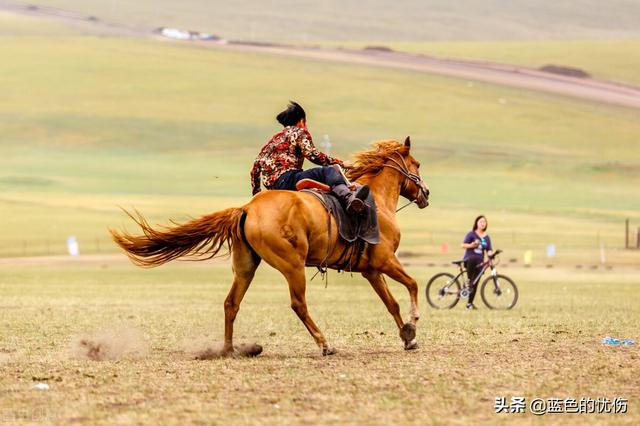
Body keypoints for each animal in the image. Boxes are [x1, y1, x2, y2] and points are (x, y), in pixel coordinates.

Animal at [110, 137, 430, 356]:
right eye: (416, 165)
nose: (426, 193)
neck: (375, 199)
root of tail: (246, 209)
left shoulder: (371, 270)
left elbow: (391, 302)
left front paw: (408, 337)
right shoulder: (385, 261)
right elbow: (413, 285)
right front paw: (413, 325)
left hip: (246, 267)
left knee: (231, 303)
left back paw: (230, 349)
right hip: (293, 265)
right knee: (298, 304)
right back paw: (324, 344)